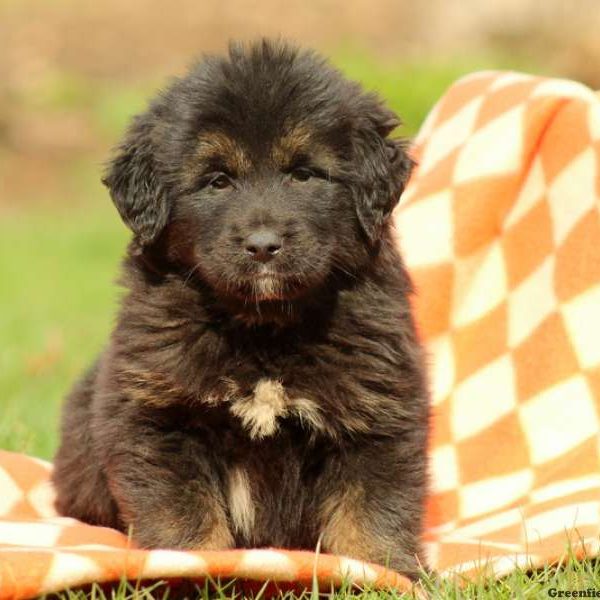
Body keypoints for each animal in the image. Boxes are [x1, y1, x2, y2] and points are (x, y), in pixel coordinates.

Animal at [50, 38, 426, 576]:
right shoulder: (157, 417)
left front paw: (382, 573)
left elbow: (371, 514)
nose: (263, 245)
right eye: (217, 180)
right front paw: (188, 569)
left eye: (304, 174)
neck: (264, 330)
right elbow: (183, 515)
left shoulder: (378, 413)